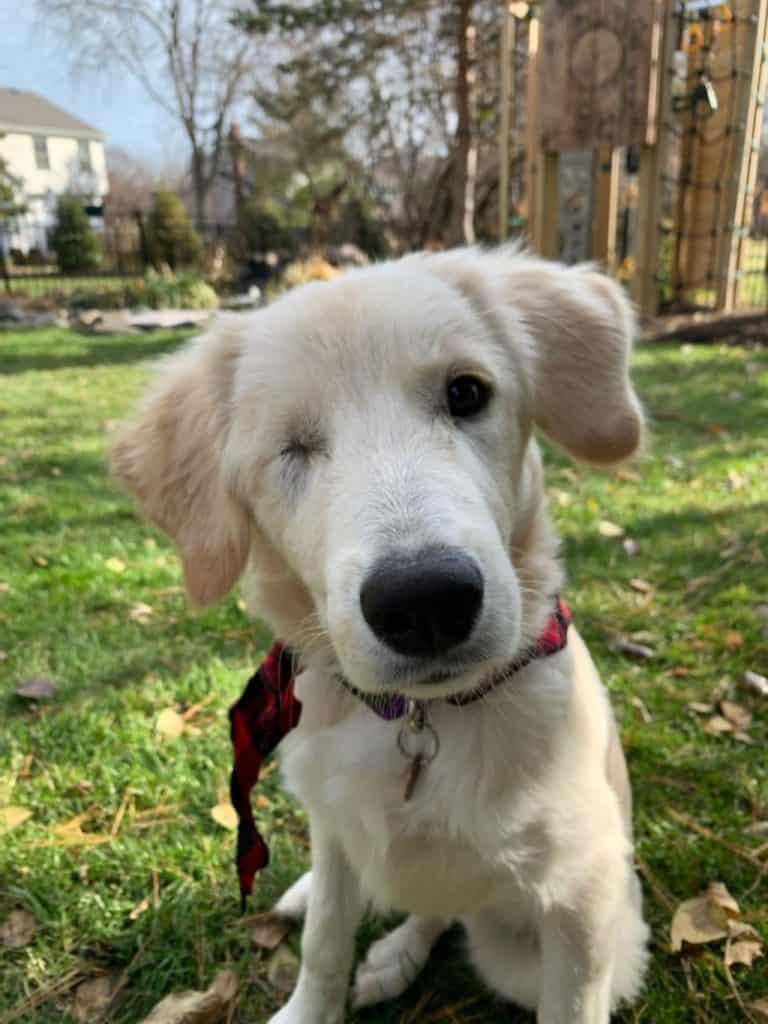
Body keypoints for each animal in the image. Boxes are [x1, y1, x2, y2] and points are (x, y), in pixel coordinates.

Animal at [117, 249, 651, 1024]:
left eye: (467, 393)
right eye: (291, 447)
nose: (424, 601)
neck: (421, 720)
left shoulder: (581, 897)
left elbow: (570, 1002)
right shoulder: (336, 825)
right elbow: (324, 942)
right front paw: (308, 1008)